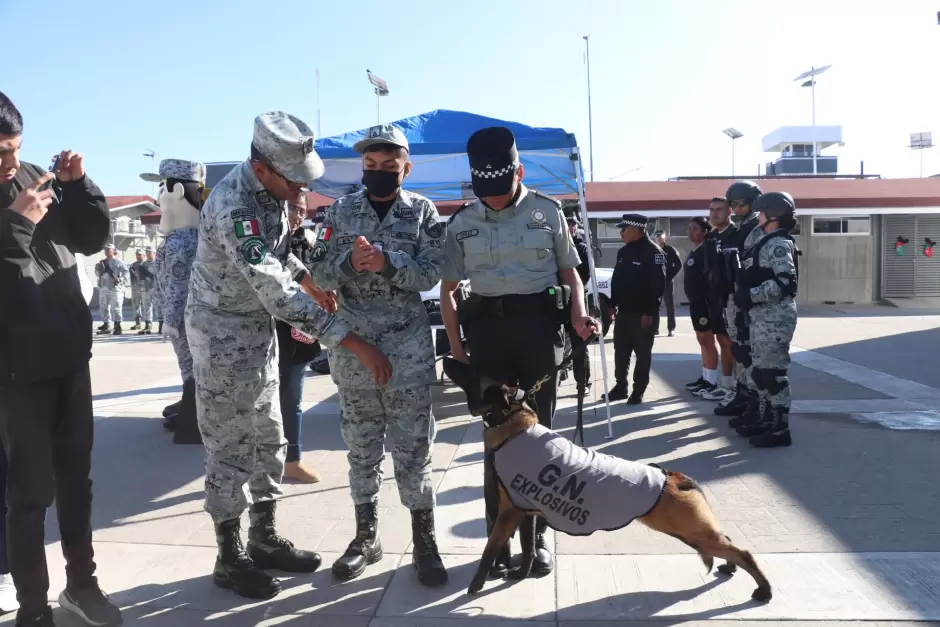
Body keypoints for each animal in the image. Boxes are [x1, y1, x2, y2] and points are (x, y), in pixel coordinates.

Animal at [468, 382, 772, 604]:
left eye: (485, 393)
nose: (470, 405)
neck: (517, 429)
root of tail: (673, 476)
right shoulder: (524, 511)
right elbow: (529, 547)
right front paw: (520, 574)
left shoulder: (507, 513)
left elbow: (489, 550)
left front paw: (476, 584)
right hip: (697, 532)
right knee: (729, 543)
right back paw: (730, 568)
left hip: (693, 532)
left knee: (743, 552)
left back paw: (764, 590)